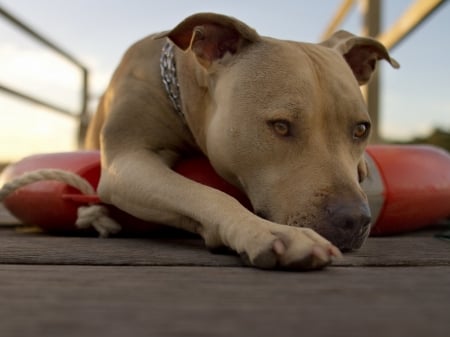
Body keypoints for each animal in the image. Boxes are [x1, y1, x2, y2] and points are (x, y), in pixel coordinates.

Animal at [86, 13, 400, 270]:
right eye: (281, 126)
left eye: (361, 130)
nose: (354, 220)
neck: (185, 86)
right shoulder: (127, 158)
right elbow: (204, 193)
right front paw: (270, 232)